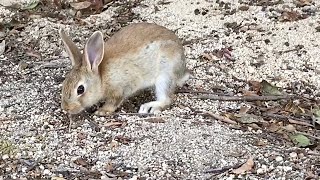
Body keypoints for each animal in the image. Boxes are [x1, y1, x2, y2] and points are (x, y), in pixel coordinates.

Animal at [59, 22, 189, 115]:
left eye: (80, 89)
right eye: (64, 83)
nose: (66, 108)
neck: (101, 77)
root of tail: (183, 69)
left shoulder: (121, 88)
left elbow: (114, 101)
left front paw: (103, 111)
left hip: (165, 75)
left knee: (166, 99)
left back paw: (148, 107)